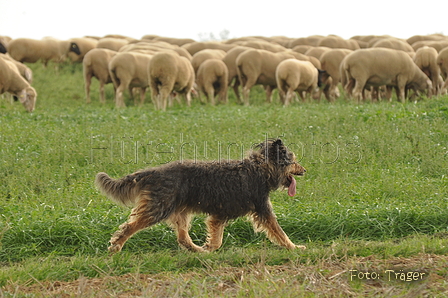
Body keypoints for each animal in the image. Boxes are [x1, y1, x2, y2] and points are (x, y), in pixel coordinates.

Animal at [96, 139, 306, 253]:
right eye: (293, 161)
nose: (305, 170)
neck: (261, 169)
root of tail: (154, 172)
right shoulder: (262, 209)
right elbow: (279, 232)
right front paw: (294, 247)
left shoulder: (219, 215)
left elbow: (216, 238)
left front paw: (209, 248)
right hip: (157, 208)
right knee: (130, 226)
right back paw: (116, 246)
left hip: (180, 212)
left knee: (183, 238)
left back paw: (197, 251)